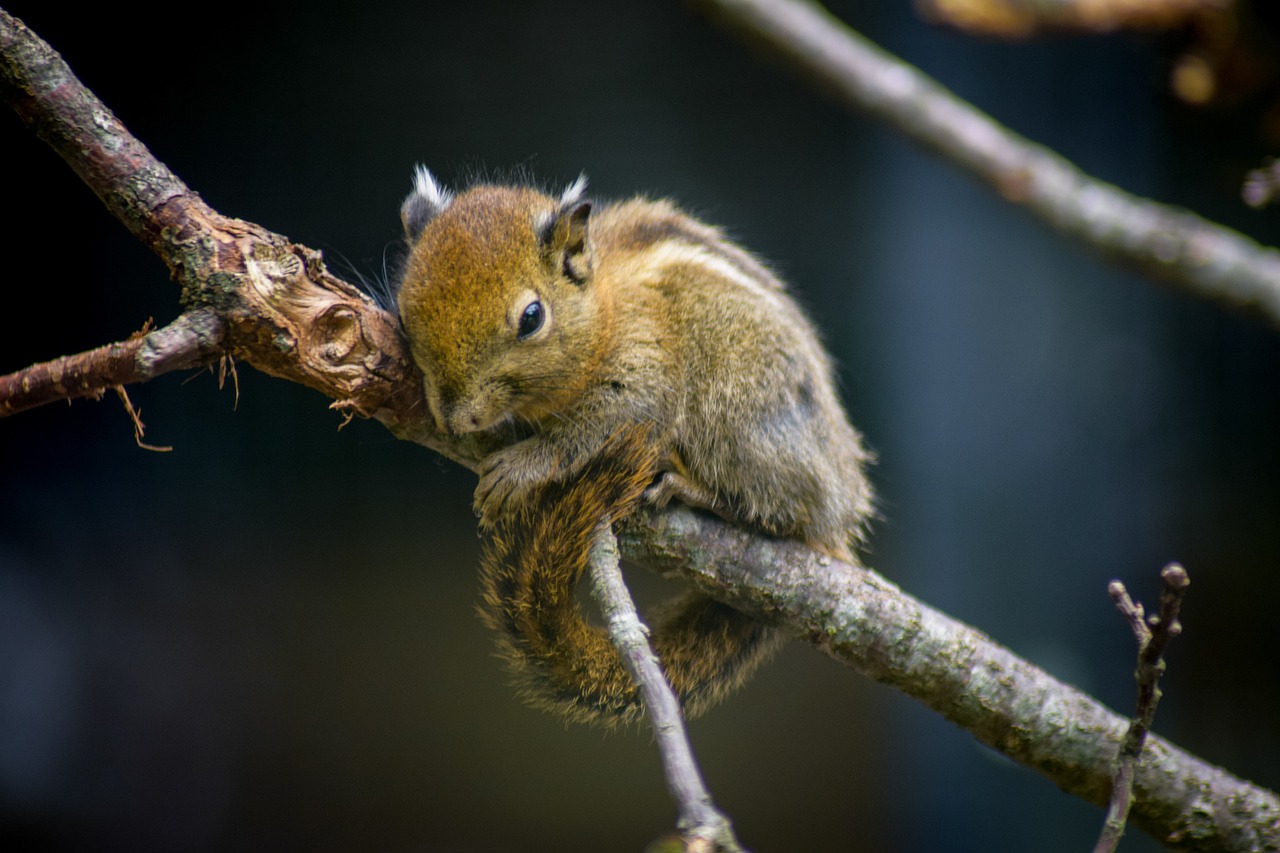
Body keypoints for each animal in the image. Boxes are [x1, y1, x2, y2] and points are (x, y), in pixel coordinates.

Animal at [391, 166, 870, 722]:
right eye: (405, 308)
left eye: (531, 317)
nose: (455, 416)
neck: (605, 311)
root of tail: (841, 517)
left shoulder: (642, 372)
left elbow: (592, 426)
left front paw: (521, 467)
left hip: (740, 411)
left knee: (787, 512)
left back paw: (692, 489)